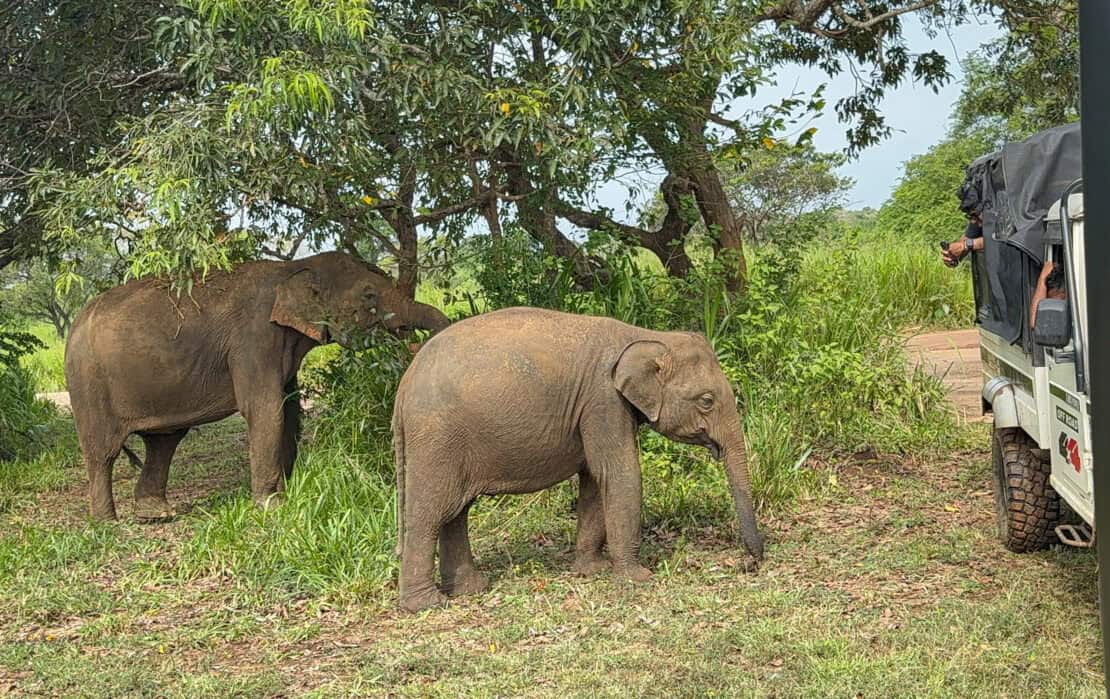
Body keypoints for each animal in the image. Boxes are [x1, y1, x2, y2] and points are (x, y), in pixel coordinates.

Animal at [65, 251, 450, 521]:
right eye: (370, 296)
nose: (411, 342)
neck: (294, 268)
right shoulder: (252, 339)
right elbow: (265, 410)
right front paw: (271, 506)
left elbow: (289, 411)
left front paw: (288, 491)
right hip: (87, 383)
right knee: (103, 451)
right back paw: (106, 522)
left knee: (164, 442)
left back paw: (155, 515)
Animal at [392, 307, 764, 612]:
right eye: (706, 401)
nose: (751, 562)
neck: (645, 336)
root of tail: (403, 385)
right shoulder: (603, 401)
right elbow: (618, 473)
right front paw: (638, 577)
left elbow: (594, 480)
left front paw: (592, 571)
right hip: (437, 438)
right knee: (431, 513)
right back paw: (426, 605)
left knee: (457, 511)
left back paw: (471, 590)